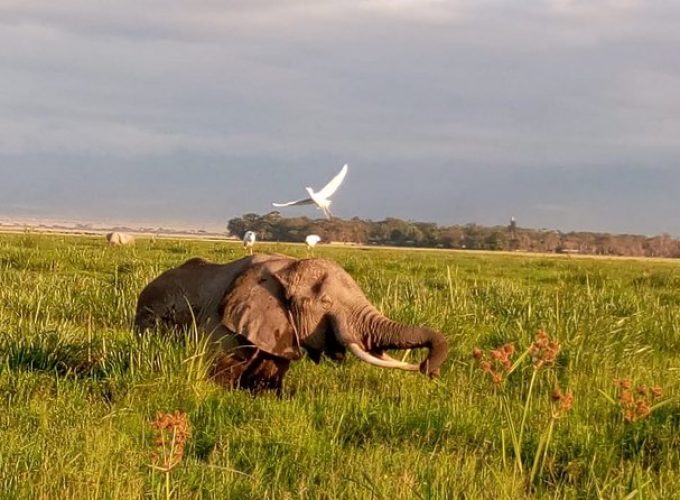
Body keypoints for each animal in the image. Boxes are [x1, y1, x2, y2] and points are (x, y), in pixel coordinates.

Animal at [135, 256, 448, 392]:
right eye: (325, 302)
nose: (428, 369)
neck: (286, 265)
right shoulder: (220, 328)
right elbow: (217, 373)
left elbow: (266, 381)